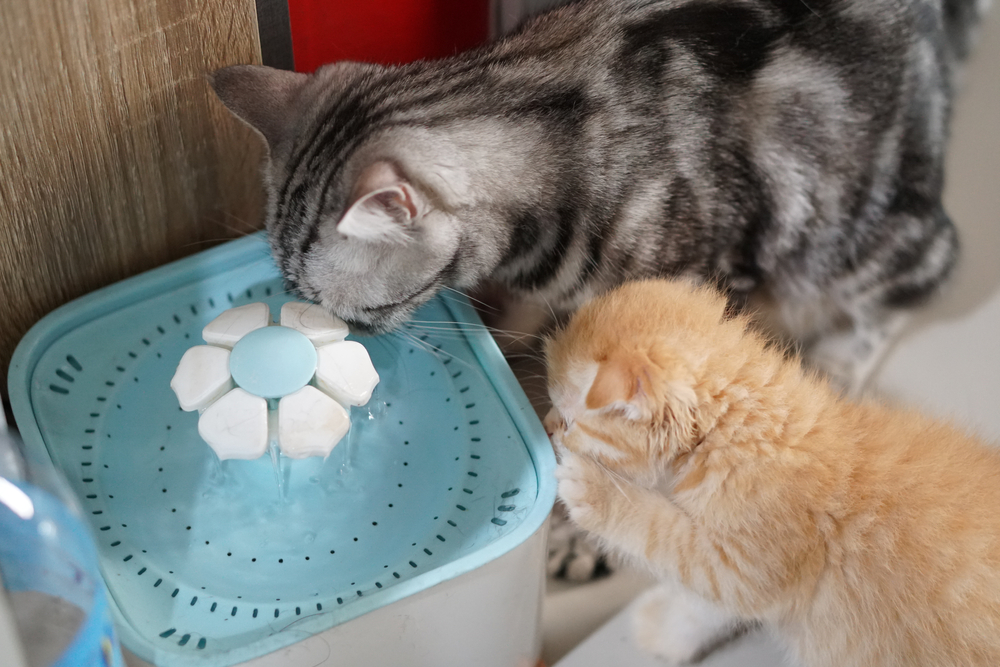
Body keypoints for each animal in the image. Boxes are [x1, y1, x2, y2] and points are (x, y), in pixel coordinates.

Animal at [211, 0, 984, 394]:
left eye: (354, 310)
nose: (338, 334)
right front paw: (509, 340)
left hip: (857, 241)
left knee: (921, 280)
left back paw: (839, 360)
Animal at [548, 280, 1000, 667]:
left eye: (567, 421)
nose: (548, 427)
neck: (745, 430)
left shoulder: (743, 567)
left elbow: (663, 538)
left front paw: (594, 490)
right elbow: (706, 610)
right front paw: (668, 632)